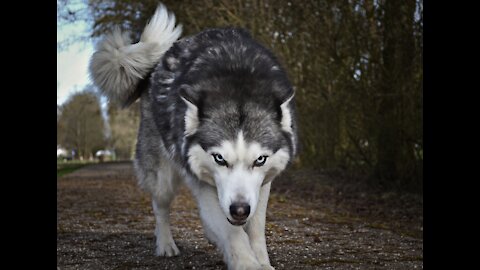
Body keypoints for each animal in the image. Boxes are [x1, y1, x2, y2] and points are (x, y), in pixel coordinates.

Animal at [89, 3, 296, 268]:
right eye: (219, 158)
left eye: (260, 159)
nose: (239, 210)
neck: (237, 78)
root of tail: (158, 63)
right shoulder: (203, 182)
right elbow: (233, 233)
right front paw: (246, 262)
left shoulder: (262, 185)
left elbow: (256, 229)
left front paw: (262, 261)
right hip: (162, 177)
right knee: (160, 207)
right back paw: (166, 244)